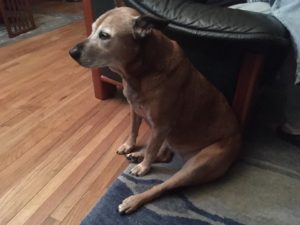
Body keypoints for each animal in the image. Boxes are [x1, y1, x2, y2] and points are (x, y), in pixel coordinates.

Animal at [69, 6, 240, 214]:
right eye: (92, 29)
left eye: (104, 35)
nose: (71, 52)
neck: (140, 72)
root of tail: (239, 140)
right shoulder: (134, 110)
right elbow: (133, 131)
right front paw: (130, 147)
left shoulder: (161, 125)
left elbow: (151, 148)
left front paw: (144, 167)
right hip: (171, 140)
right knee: (164, 155)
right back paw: (136, 155)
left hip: (197, 165)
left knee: (162, 186)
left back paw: (133, 199)